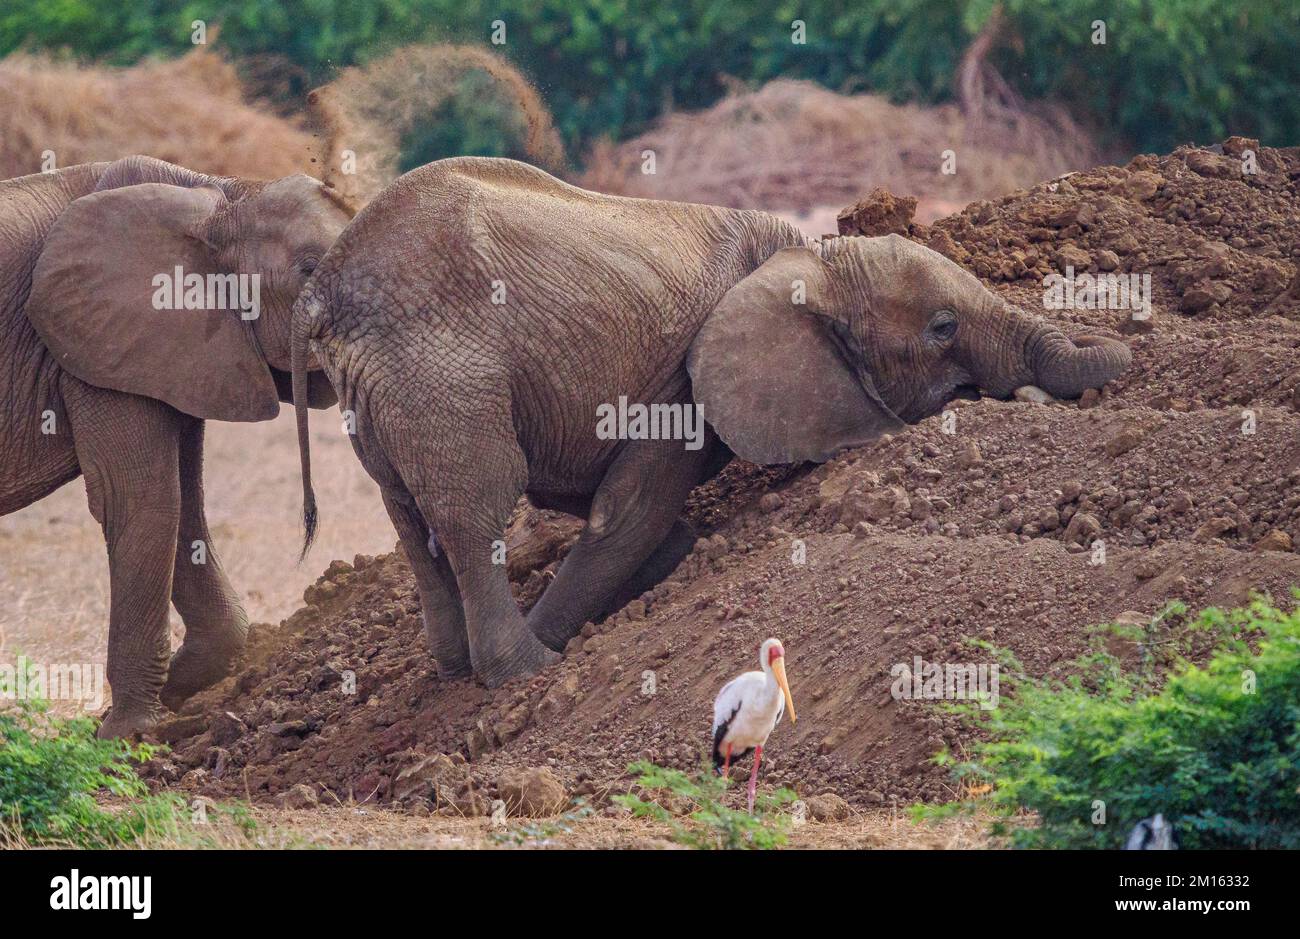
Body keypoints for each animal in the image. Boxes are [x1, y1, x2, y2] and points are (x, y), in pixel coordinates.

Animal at [0, 153, 351, 733]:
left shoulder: (175, 349)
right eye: (306, 269)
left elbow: (184, 505)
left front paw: (180, 694)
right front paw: (127, 734)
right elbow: (144, 502)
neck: (224, 195)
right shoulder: (97, 344)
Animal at [292, 157, 1128, 686]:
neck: (809, 259)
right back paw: (524, 671)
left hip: (384, 396)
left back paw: (454, 667)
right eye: (943, 329)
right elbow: (624, 510)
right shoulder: (681, 385)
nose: (1024, 396)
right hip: (442, 376)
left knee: (410, 518)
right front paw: (574, 628)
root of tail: (325, 293)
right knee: (474, 512)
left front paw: (674, 554)